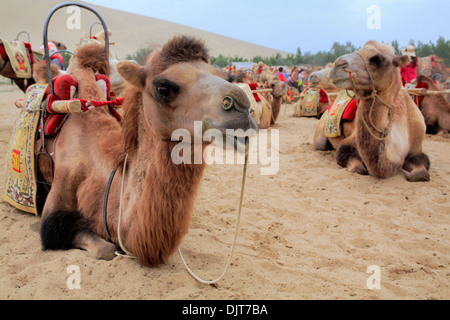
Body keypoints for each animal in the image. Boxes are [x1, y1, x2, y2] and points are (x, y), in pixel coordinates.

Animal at [312, 40, 432, 182]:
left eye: (377, 59)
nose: (338, 65)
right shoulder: (349, 143)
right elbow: (356, 166)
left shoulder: (417, 146)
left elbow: (421, 172)